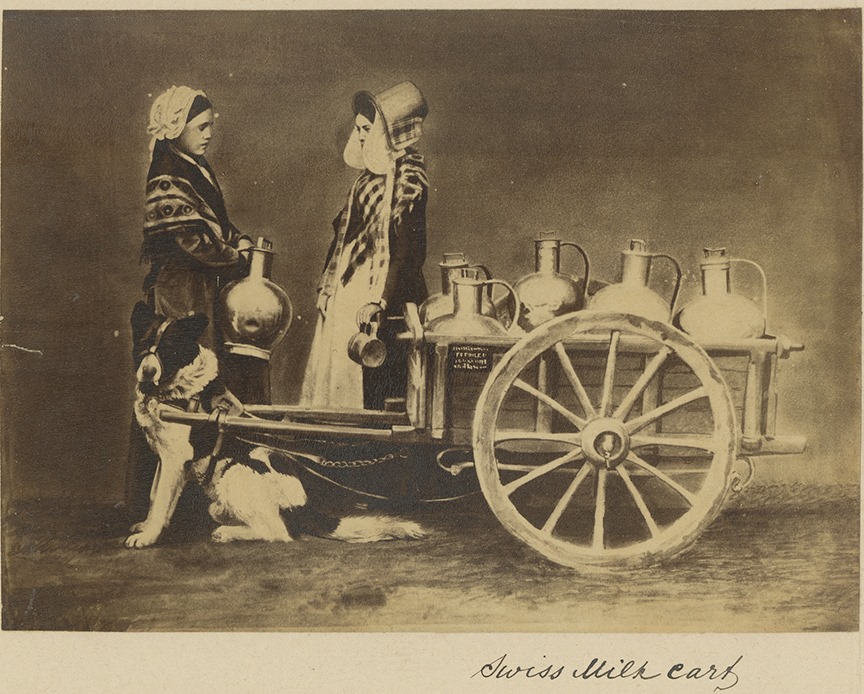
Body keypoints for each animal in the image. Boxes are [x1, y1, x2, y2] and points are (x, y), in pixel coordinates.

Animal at [126, 301, 426, 548]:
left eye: (169, 349)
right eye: (143, 345)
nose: (147, 371)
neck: (176, 392)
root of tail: (304, 505)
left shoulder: (176, 458)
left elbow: (160, 501)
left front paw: (148, 536)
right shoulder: (164, 458)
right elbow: (155, 496)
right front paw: (147, 525)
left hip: (236, 474)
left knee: (277, 531)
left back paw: (228, 532)